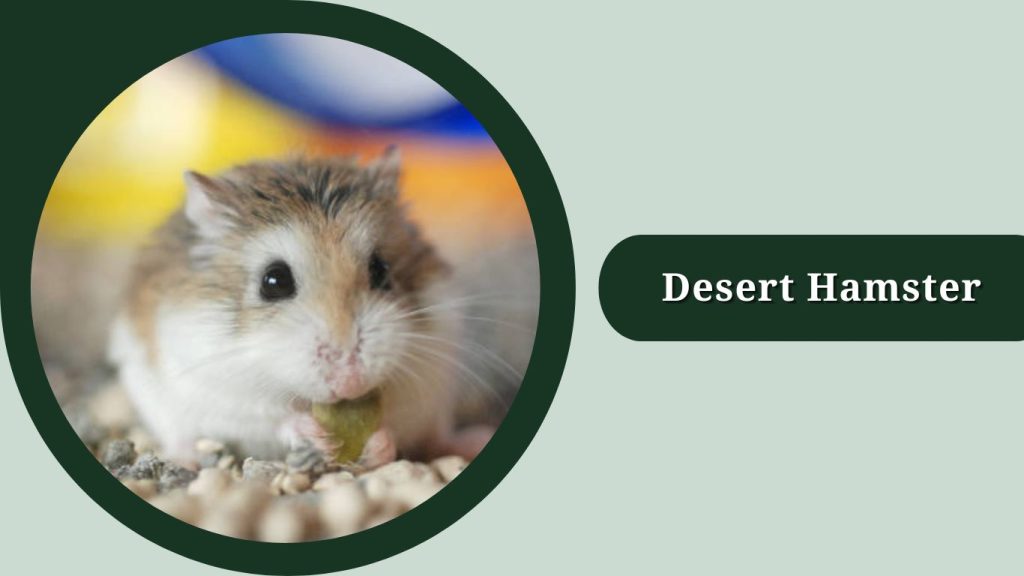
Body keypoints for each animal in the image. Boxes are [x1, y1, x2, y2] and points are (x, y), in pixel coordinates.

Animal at [108, 151, 496, 467]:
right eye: (274, 281)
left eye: (381, 269)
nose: (350, 380)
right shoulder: (223, 388)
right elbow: (273, 417)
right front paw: (316, 436)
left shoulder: (428, 371)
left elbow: (396, 424)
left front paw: (378, 444)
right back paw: (182, 459)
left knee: (438, 437)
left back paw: (475, 440)